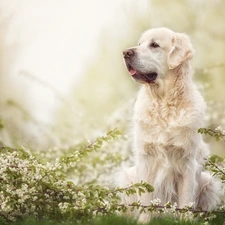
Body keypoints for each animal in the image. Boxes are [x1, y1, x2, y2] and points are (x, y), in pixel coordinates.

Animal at [117, 27, 221, 222]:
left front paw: (186, 221)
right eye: (140, 43)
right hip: (128, 176)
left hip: (208, 181)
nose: (126, 52)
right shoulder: (146, 158)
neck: (164, 103)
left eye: (154, 45)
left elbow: (185, 200)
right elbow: (145, 200)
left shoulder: (187, 161)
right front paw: (144, 221)